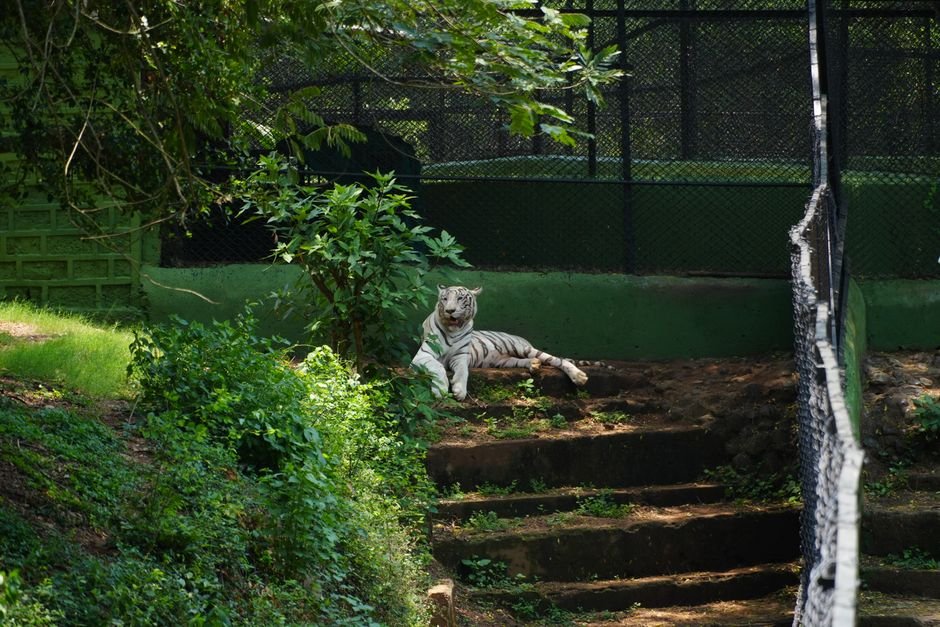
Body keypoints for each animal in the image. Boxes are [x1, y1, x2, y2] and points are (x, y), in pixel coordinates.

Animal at [410, 285, 589, 401]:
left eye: (460, 298)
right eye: (445, 299)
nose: (449, 311)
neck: (452, 330)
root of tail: (522, 339)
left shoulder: (460, 357)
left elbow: (462, 371)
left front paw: (459, 390)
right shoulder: (423, 355)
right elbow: (438, 366)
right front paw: (441, 389)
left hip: (520, 347)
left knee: (556, 360)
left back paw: (579, 376)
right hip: (504, 361)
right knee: (527, 361)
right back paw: (534, 364)